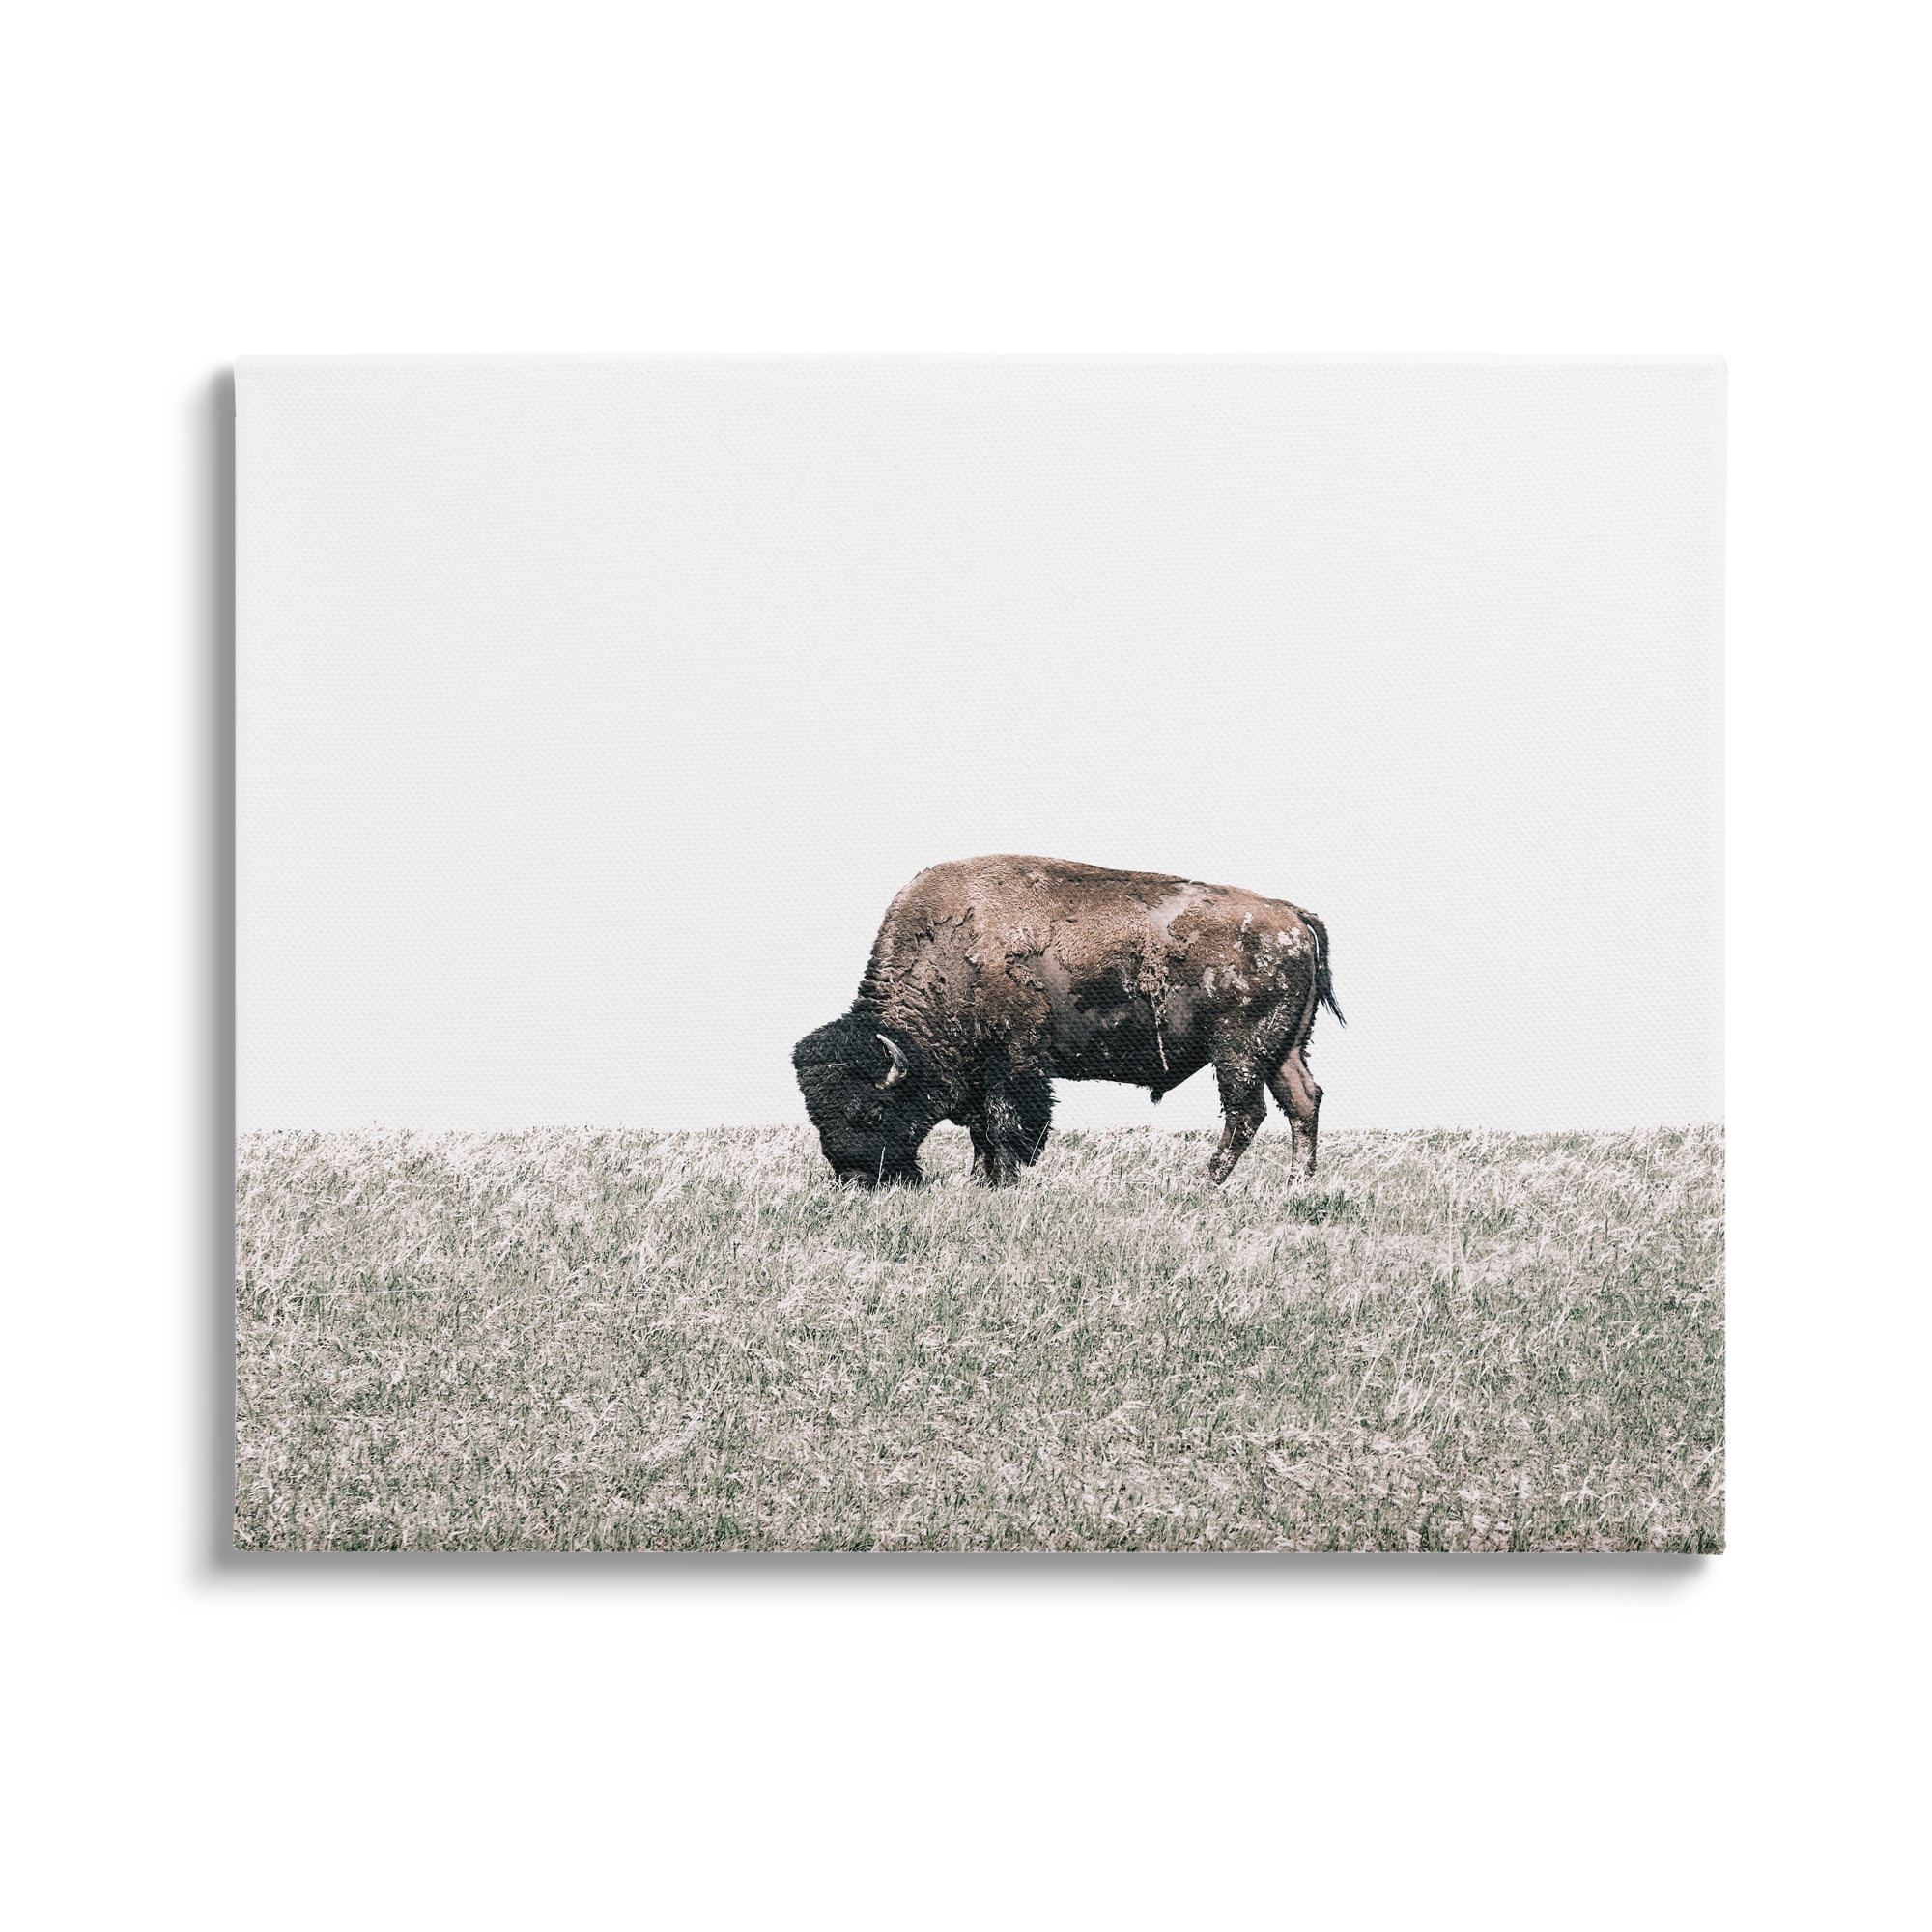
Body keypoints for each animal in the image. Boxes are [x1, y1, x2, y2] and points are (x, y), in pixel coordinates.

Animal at [793, 855, 1341, 1188]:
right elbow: (980, 1132)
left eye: (868, 1113)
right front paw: (980, 1180)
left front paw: (1005, 1181)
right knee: (1303, 1102)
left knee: (1246, 1112)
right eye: (817, 1116)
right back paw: (1296, 1185)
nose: (858, 1180)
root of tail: (1294, 917)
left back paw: (1205, 1183)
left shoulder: (1015, 1065)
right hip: (1284, 1049)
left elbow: (1005, 1125)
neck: (951, 953)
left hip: (1239, 1051)